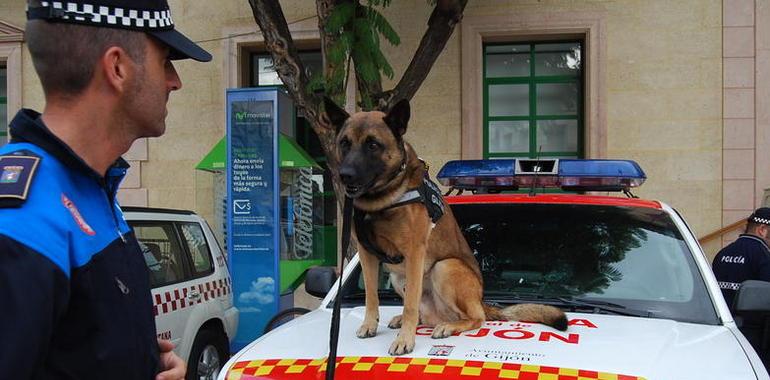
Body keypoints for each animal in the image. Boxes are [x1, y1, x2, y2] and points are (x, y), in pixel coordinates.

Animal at [324, 96, 564, 354]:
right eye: (344, 143)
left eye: (373, 145)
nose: (344, 175)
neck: (383, 199)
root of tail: (481, 301)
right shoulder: (367, 253)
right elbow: (371, 295)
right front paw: (370, 325)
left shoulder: (414, 253)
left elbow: (410, 305)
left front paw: (405, 339)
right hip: (400, 278)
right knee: (422, 311)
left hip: (445, 267)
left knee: (475, 317)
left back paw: (448, 326)